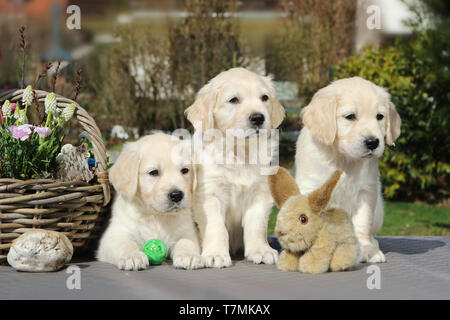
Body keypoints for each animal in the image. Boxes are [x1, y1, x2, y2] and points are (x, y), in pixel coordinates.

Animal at [98, 132, 204, 270]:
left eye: (185, 170)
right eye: (154, 172)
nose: (177, 195)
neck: (157, 216)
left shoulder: (187, 231)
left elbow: (186, 241)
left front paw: (189, 255)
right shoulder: (114, 235)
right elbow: (125, 243)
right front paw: (133, 256)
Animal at [185, 67, 284, 268]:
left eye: (264, 98)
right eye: (233, 100)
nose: (258, 118)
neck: (239, 151)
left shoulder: (260, 194)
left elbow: (257, 225)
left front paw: (261, 250)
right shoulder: (210, 195)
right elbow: (216, 227)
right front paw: (215, 254)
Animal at [296, 77, 400, 262]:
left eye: (380, 117)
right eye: (350, 117)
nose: (373, 142)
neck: (343, 159)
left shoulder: (366, 192)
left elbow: (362, 224)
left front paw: (367, 249)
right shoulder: (311, 188)